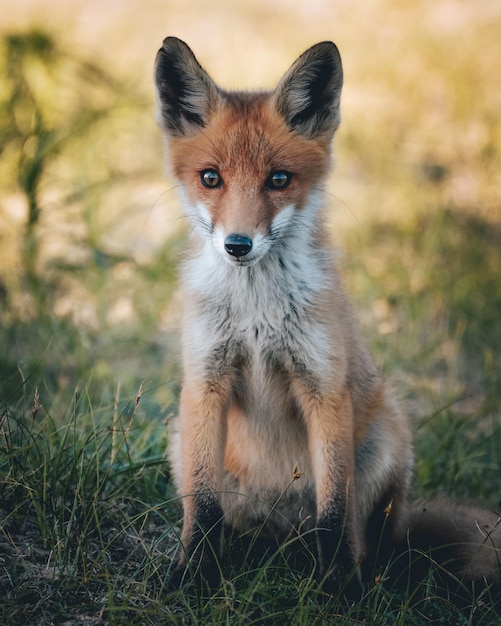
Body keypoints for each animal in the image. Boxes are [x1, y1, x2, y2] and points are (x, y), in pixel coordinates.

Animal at [153, 35, 500, 600]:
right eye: (210, 178)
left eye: (278, 180)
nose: (238, 245)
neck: (258, 315)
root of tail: (281, 531)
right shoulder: (205, 383)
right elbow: (202, 508)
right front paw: (194, 576)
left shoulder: (324, 387)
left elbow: (334, 512)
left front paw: (337, 589)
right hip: (181, 438)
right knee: (230, 519)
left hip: (387, 441)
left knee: (364, 535)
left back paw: (368, 572)